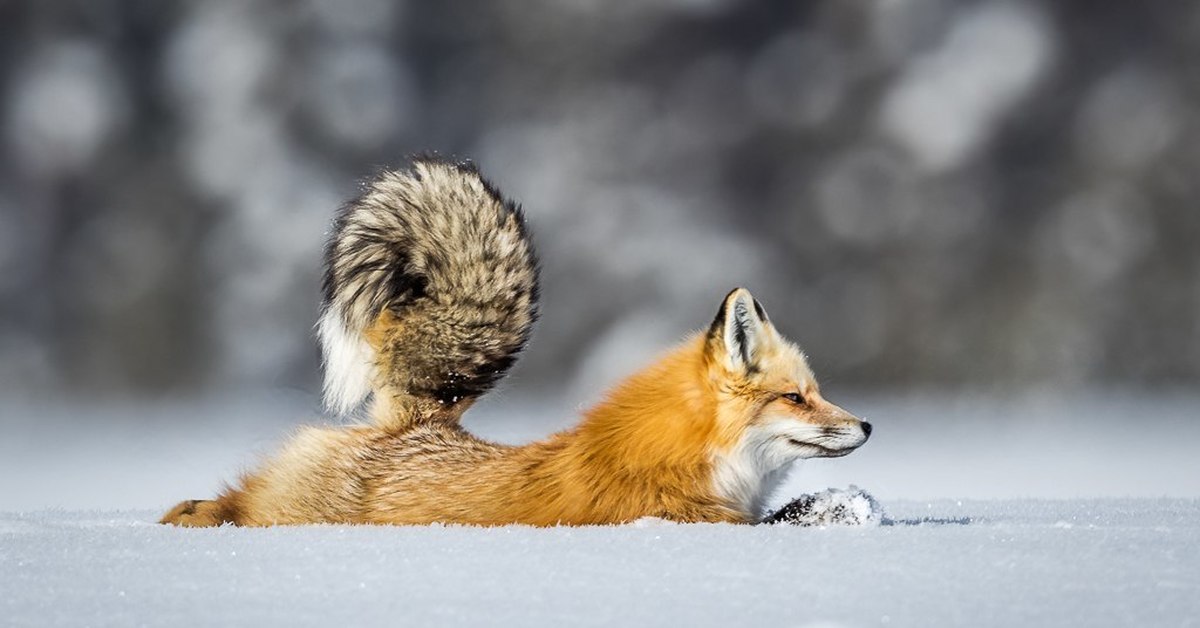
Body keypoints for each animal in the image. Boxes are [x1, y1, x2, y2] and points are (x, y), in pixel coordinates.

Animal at [162, 156, 873, 525]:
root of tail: (414, 423)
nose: (867, 425)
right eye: (796, 397)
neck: (685, 459)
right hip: (292, 513)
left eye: (815, 391)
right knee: (234, 506)